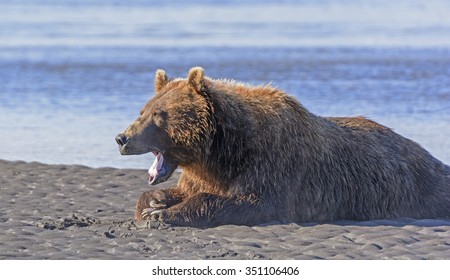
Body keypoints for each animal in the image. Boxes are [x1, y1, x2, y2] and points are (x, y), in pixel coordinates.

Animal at [115, 67, 450, 228]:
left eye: (160, 114)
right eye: (143, 110)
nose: (122, 138)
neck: (220, 152)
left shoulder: (272, 163)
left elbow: (252, 202)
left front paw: (164, 215)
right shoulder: (203, 174)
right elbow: (178, 190)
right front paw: (154, 205)